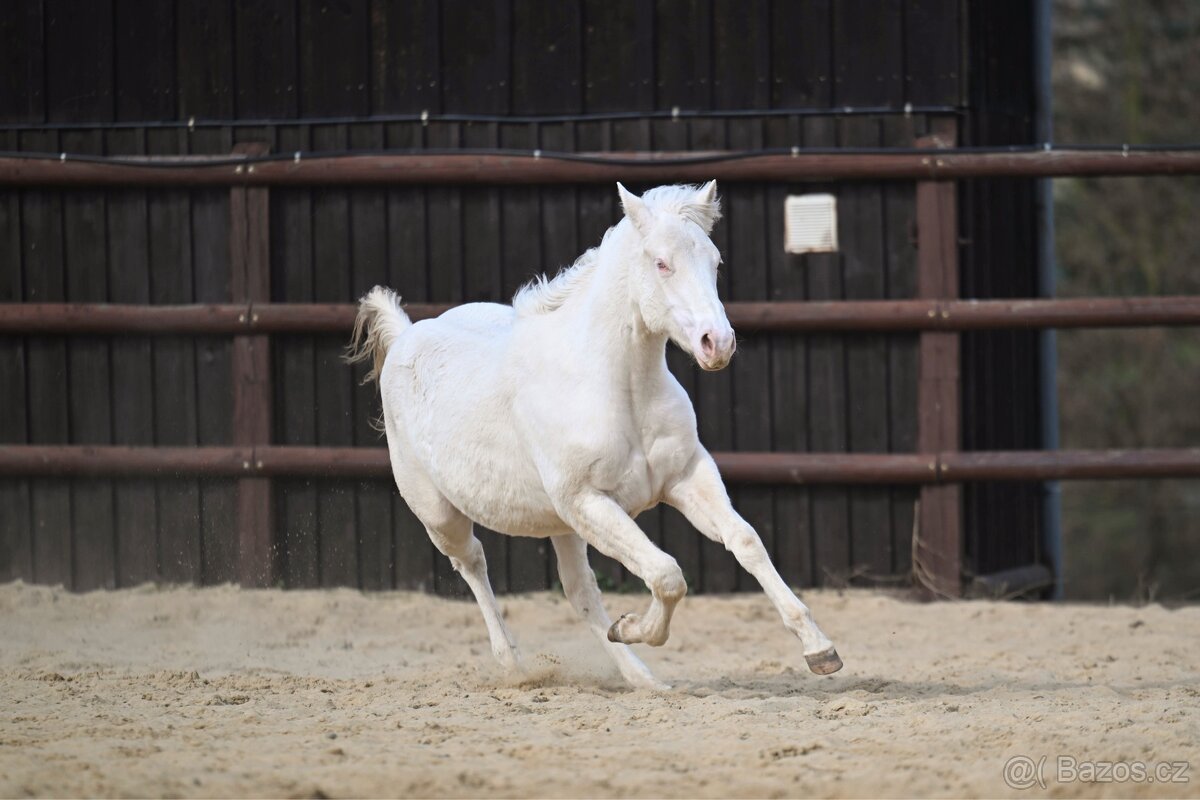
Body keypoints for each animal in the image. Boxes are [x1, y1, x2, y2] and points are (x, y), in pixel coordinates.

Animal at [346, 181, 842, 689]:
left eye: (716, 262)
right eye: (661, 263)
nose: (717, 343)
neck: (620, 388)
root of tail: (406, 334)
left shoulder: (685, 477)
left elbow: (745, 541)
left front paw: (820, 650)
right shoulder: (588, 502)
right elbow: (667, 574)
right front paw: (632, 626)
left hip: (559, 523)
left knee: (578, 590)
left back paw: (644, 680)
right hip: (443, 516)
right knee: (474, 563)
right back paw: (516, 666)